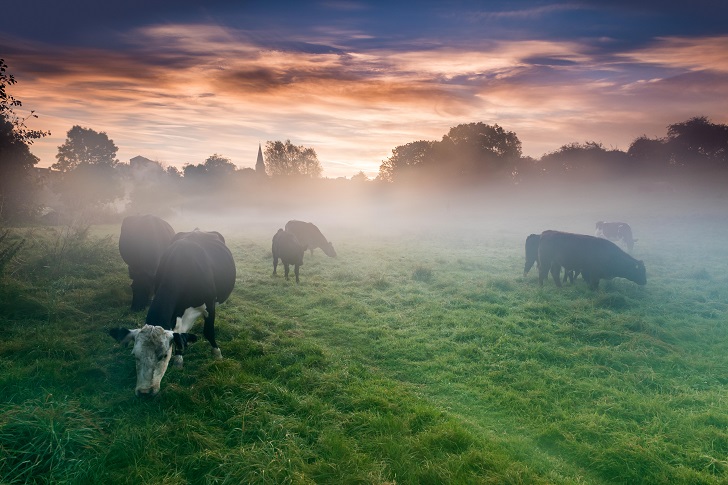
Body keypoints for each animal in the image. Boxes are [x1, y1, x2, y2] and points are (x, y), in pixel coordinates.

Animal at [109, 229, 235, 396]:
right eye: (135, 355)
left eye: (164, 355)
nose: (144, 392)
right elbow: (179, 336)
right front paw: (179, 359)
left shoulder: (209, 304)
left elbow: (208, 331)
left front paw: (217, 354)